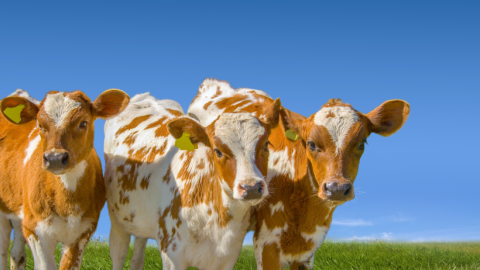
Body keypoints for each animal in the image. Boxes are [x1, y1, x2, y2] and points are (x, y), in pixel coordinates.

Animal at [0, 87, 129, 268]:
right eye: (40, 125)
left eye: (83, 123)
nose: (55, 158)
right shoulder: (36, 230)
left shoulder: (82, 231)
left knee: (16, 253)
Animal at [102, 93, 282, 270]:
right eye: (217, 151)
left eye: (266, 145)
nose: (251, 188)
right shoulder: (171, 252)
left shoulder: (228, 257)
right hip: (117, 222)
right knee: (118, 254)